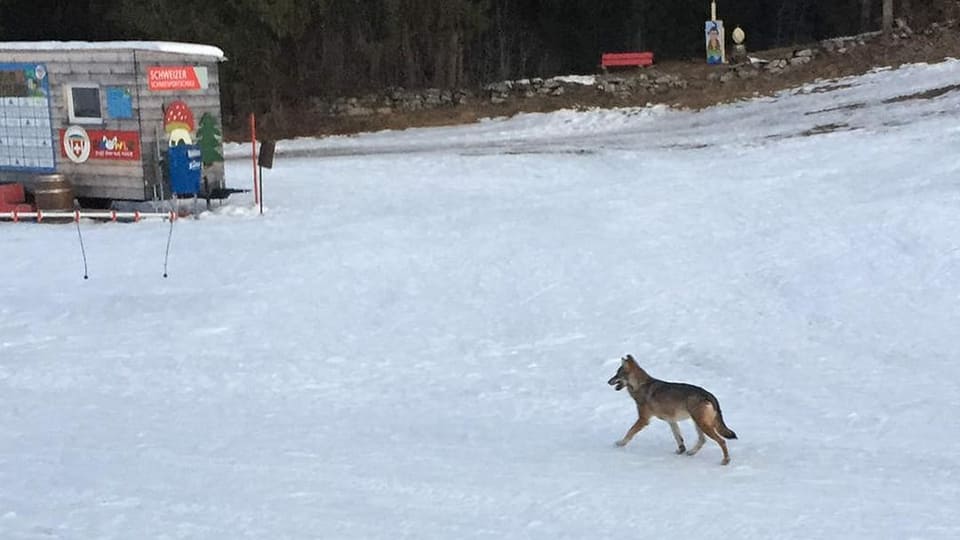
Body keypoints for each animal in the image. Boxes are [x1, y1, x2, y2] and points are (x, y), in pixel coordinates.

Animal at [612, 354, 740, 464]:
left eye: (617, 374)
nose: (608, 381)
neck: (641, 385)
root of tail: (709, 395)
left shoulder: (643, 420)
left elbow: (630, 432)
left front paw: (621, 443)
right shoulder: (671, 421)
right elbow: (679, 438)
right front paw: (681, 450)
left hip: (703, 425)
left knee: (721, 441)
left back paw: (725, 461)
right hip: (699, 424)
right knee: (703, 440)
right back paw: (691, 452)